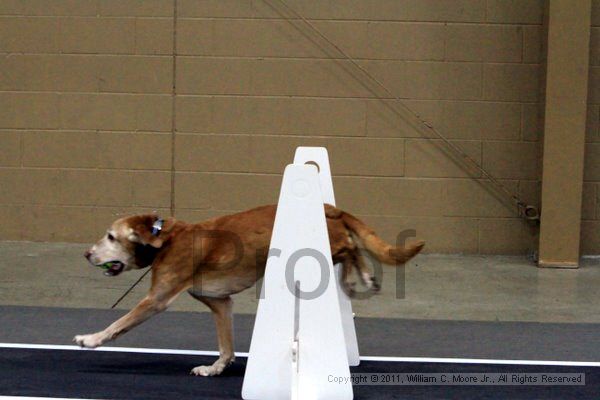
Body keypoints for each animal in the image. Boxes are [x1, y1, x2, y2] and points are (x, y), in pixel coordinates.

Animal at [76, 205, 422, 376]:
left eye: (110, 237)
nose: (87, 254)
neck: (165, 241)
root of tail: (329, 207)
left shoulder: (156, 300)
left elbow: (118, 324)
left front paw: (91, 339)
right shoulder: (220, 303)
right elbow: (225, 345)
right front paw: (215, 368)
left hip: (324, 244)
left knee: (351, 246)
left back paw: (361, 275)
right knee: (350, 248)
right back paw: (358, 276)